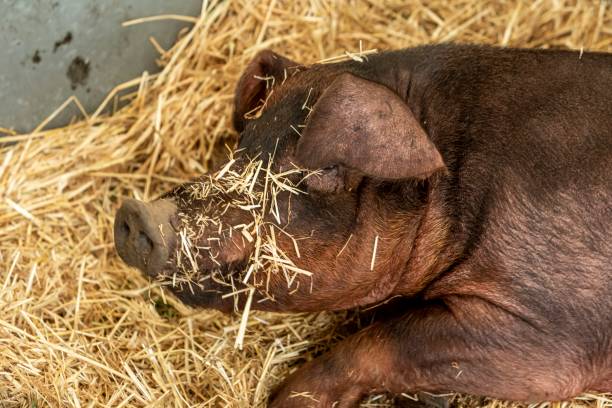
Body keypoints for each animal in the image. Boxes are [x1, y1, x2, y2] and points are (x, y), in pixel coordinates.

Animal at [116, 43, 612, 406]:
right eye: (241, 148)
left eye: (325, 169)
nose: (136, 213)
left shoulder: (551, 331)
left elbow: (384, 340)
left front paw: (285, 400)